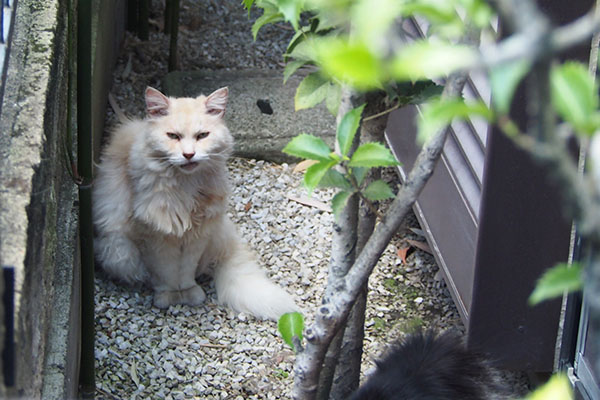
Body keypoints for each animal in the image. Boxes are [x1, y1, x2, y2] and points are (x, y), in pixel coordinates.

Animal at [94, 86, 298, 320]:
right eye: (173, 136)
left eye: (202, 136)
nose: (189, 155)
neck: (186, 186)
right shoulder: (153, 234)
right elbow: (165, 273)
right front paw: (170, 297)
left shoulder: (198, 233)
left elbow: (185, 272)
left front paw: (188, 294)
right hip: (117, 251)